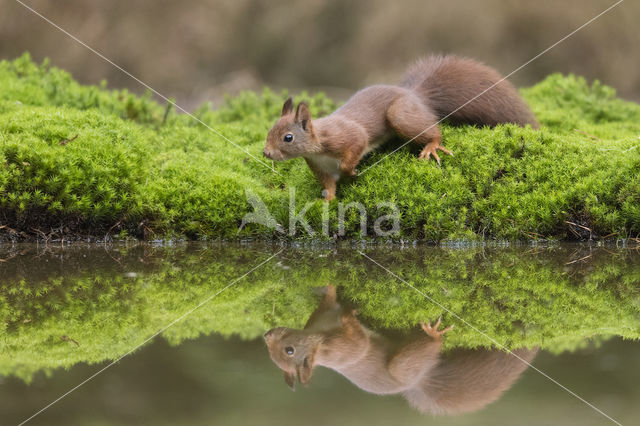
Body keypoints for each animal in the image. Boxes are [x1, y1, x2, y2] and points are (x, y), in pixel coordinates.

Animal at [262, 55, 536, 201]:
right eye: (269, 131)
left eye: (288, 137)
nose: (266, 153)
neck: (318, 147)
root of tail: (415, 95)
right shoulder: (320, 167)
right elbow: (329, 185)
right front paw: (326, 202)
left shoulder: (349, 137)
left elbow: (354, 151)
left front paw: (352, 172)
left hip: (400, 115)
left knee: (433, 130)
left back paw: (432, 147)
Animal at [262, 286, 536, 416]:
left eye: (288, 350)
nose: (267, 334)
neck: (318, 336)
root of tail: (419, 380)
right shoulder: (343, 350)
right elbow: (359, 341)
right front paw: (350, 317)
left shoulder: (324, 313)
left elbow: (329, 298)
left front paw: (330, 286)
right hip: (402, 366)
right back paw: (433, 334)